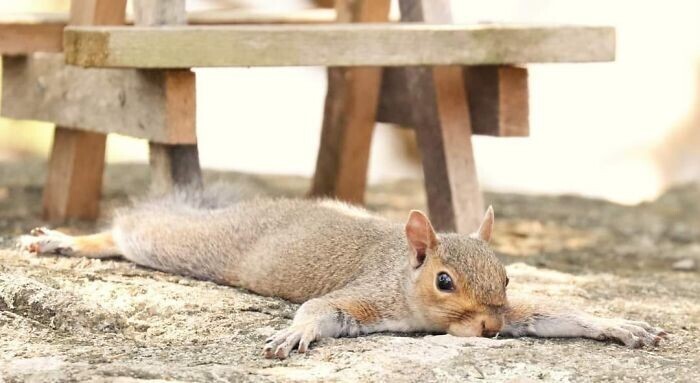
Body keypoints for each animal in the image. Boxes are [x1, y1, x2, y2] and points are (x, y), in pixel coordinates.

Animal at [20, 186, 668, 360]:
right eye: (444, 281)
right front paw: (296, 332)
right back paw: (65, 241)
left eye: (506, 280)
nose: (489, 330)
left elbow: (551, 314)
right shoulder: (368, 297)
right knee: (131, 233)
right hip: (191, 247)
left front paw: (619, 325)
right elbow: (323, 310)